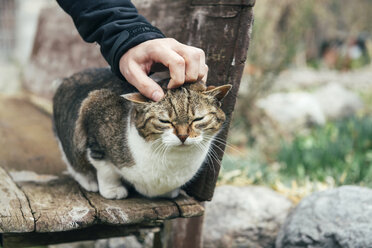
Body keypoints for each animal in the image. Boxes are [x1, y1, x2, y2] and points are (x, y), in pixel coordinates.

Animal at [52, 68, 230, 200]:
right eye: (165, 121)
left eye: (198, 119)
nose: (183, 136)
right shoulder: (95, 110)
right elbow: (106, 168)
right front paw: (112, 190)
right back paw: (88, 180)